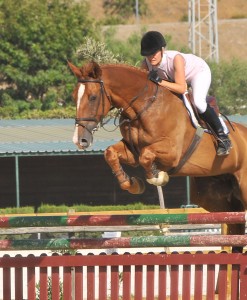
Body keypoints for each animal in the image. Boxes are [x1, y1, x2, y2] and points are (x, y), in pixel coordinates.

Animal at [68, 60, 247, 241]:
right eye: (74, 97)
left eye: (92, 97)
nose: (80, 140)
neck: (145, 107)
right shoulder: (132, 151)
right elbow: (111, 153)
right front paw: (132, 184)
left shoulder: (172, 153)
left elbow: (146, 156)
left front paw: (157, 177)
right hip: (213, 195)